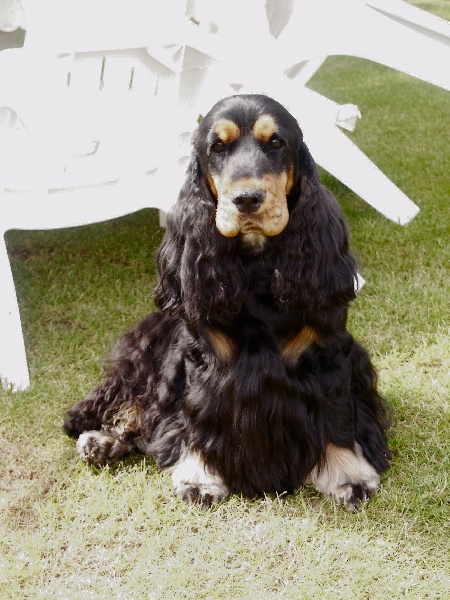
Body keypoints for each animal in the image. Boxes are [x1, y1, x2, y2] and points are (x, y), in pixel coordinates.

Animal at [64, 94, 390, 511]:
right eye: (217, 147)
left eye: (276, 143)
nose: (247, 199)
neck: (257, 268)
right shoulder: (204, 362)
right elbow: (198, 417)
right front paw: (201, 476)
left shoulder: (328, 355)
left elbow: (337, 418)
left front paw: (349, 475)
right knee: (139, 405)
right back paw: (103, 439)